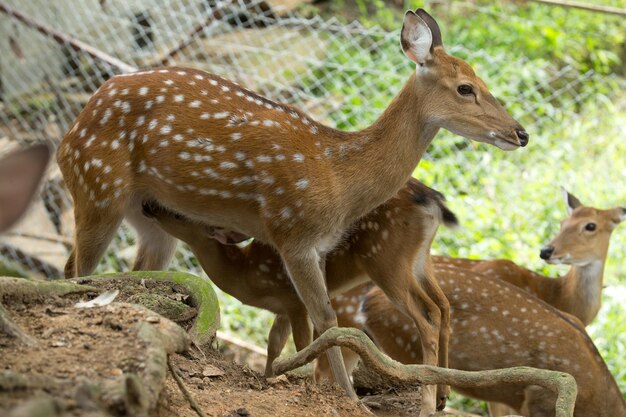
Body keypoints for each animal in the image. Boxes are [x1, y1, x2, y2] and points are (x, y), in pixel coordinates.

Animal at [143, 179, 458, 412]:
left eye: (179, 213)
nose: (147, 204)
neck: (247, 274)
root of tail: (432, 200)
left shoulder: (294, 301)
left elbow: (303, 343)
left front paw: (302, 384)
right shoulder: (282, 307)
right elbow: (273, 344)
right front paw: (269, 378)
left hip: (386, 260)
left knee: (426, 317)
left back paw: (427, 404)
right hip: (419, 259)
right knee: (442, 307)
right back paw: (442, 395)